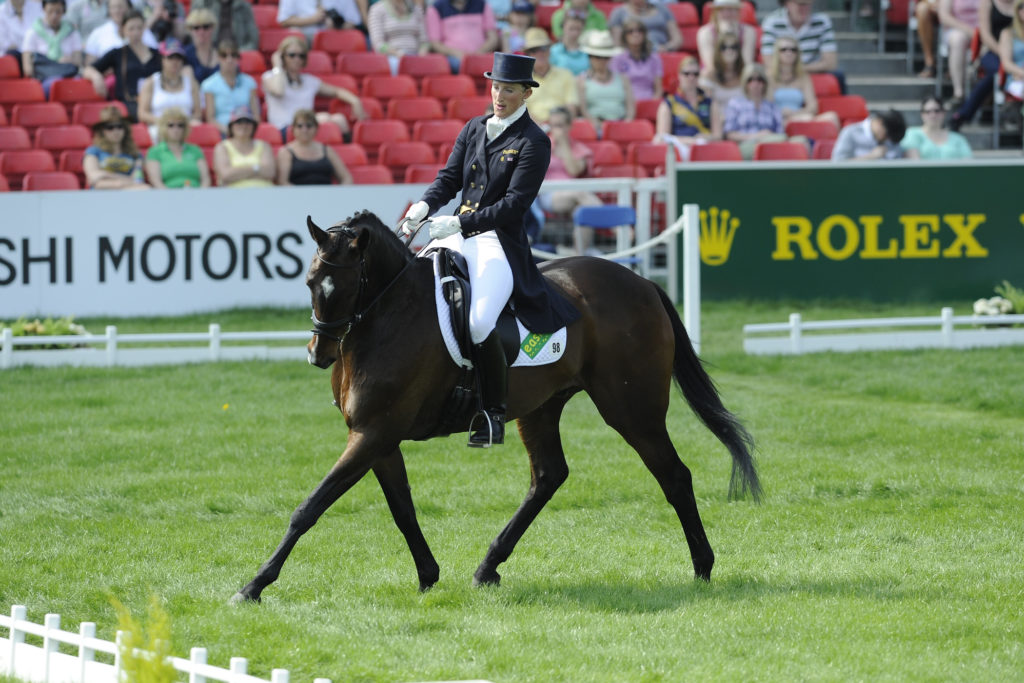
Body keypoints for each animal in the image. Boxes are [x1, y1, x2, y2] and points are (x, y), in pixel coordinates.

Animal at [232, 210, 761, 602]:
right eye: (309, 281)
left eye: (341, 286)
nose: (318, 354)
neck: (389, 313)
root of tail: (643, 284)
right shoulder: (376, 437)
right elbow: (402, 509)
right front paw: (428, 576)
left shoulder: (373, 432)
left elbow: (310, 507)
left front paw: (254, 585)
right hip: (541, 408)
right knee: (548, 476)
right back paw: (487, 567)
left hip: (633, 410)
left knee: (674, 476)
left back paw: (703, 568)